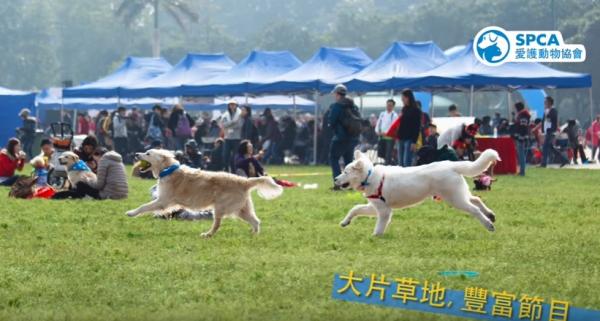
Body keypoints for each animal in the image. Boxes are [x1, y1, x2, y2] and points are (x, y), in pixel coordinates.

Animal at [126, 149, 284, 236]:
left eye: (148, 153)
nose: (136, 154)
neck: (168, 169)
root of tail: (244, 181)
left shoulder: (163, 201)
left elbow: (144, 207)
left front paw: (131, 213)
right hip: (241, 210)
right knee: (256, 221)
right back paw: (254, 235)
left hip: (220, 208)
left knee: (217, 225)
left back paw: (207, 235)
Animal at [336, 148, 500, 235]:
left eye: (345, 172)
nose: (336, 180)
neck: (369, 176)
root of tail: (451, 165)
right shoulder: (374, 206)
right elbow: (356, 208)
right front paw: (345, 222)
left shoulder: (384, 211)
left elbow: (379, 226)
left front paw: (375, 236)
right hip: (458, 195)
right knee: (477, 199)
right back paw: (490, 215)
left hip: (455, 199)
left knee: (474, 209)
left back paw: (488, 224)